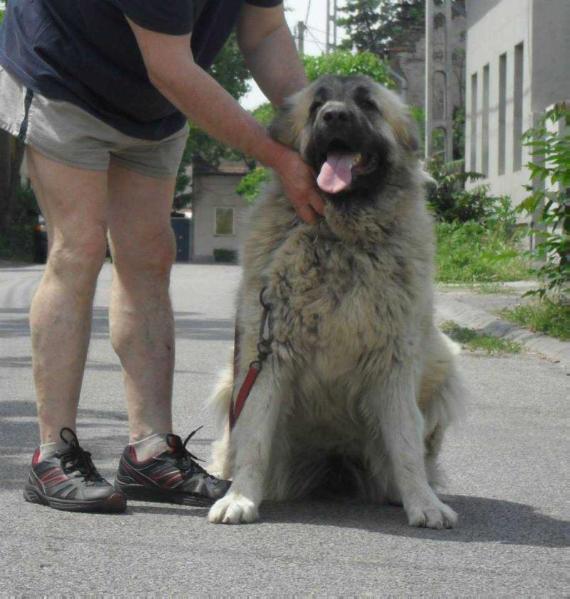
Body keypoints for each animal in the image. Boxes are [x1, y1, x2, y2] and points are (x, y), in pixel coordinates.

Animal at [207, 75, 462, 528]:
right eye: (317, 105)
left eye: (367, 103)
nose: (335, 116)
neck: (340, 234)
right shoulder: (265, 355)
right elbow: (253, 436)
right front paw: (239, 498)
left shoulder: (397, 361)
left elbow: (406, 442)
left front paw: (424, 503)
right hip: (230, 381)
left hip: (445, 364)